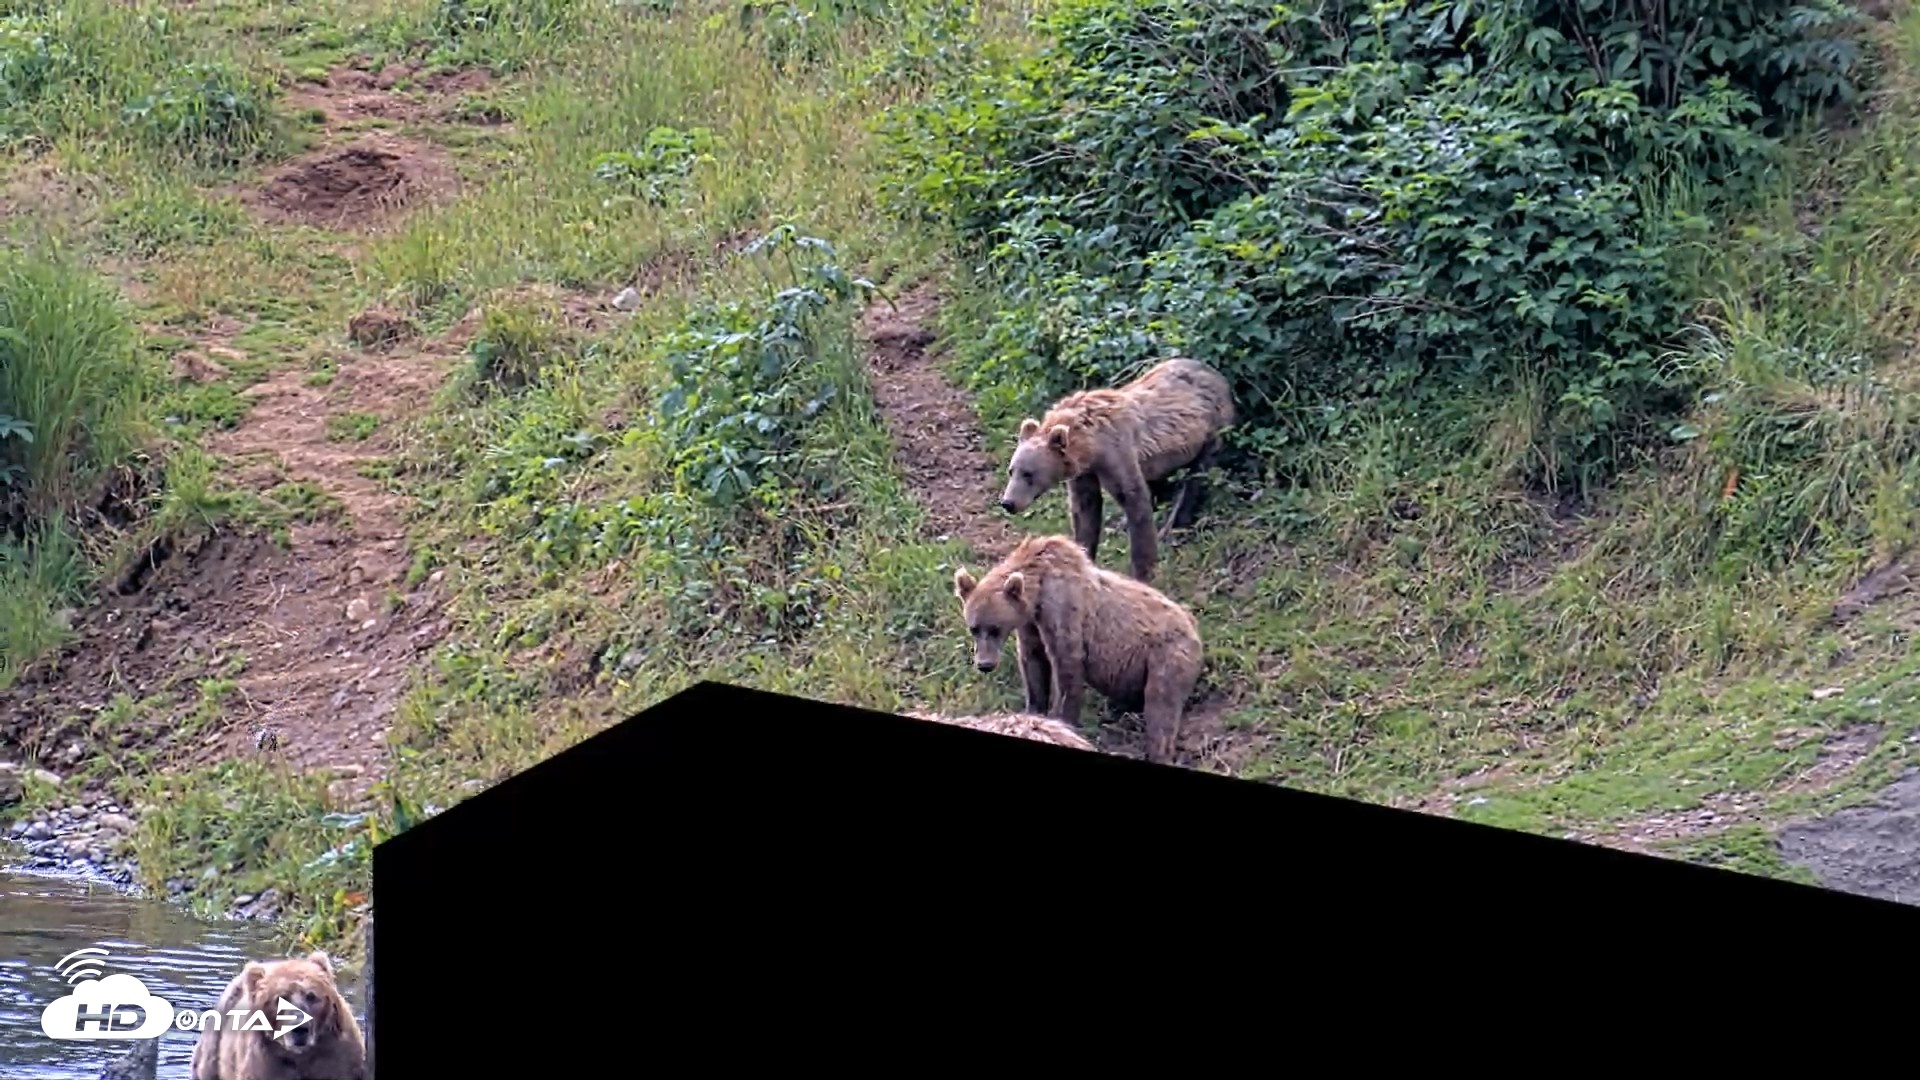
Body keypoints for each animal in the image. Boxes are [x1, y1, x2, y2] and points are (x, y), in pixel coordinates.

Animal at [190, 951, 366, 1080]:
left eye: (311, 996)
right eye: (280, 998)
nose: (300, 1029)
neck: (299, 1057)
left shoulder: (336, 1058)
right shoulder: (265, 1065)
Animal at [952, 533, 1203, 765]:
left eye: (994, 629)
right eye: (974, 628)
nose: (985, 664)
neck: (1038, 589)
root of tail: (1193, 628)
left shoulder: (1062, 608)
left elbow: (1066, 664)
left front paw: (1063, 720)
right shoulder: (1030, 623)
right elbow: (1034, 662)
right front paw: (1034, 710)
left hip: (1165, 655)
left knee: (1161, 706)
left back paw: (1159, 750)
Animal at [998, 356, 1235, 584]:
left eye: (1028, 474)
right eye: (1012, 470)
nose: (1008, 503)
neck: (1089, 444)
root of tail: (1219, 376)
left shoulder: (1116, 452)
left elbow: (1133, 498)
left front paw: (1143, 570)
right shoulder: (1084, 472)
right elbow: (1085, 509)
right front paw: (1084, 552)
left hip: (1212, 430)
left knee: (1196, 477)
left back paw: (1173, 526)